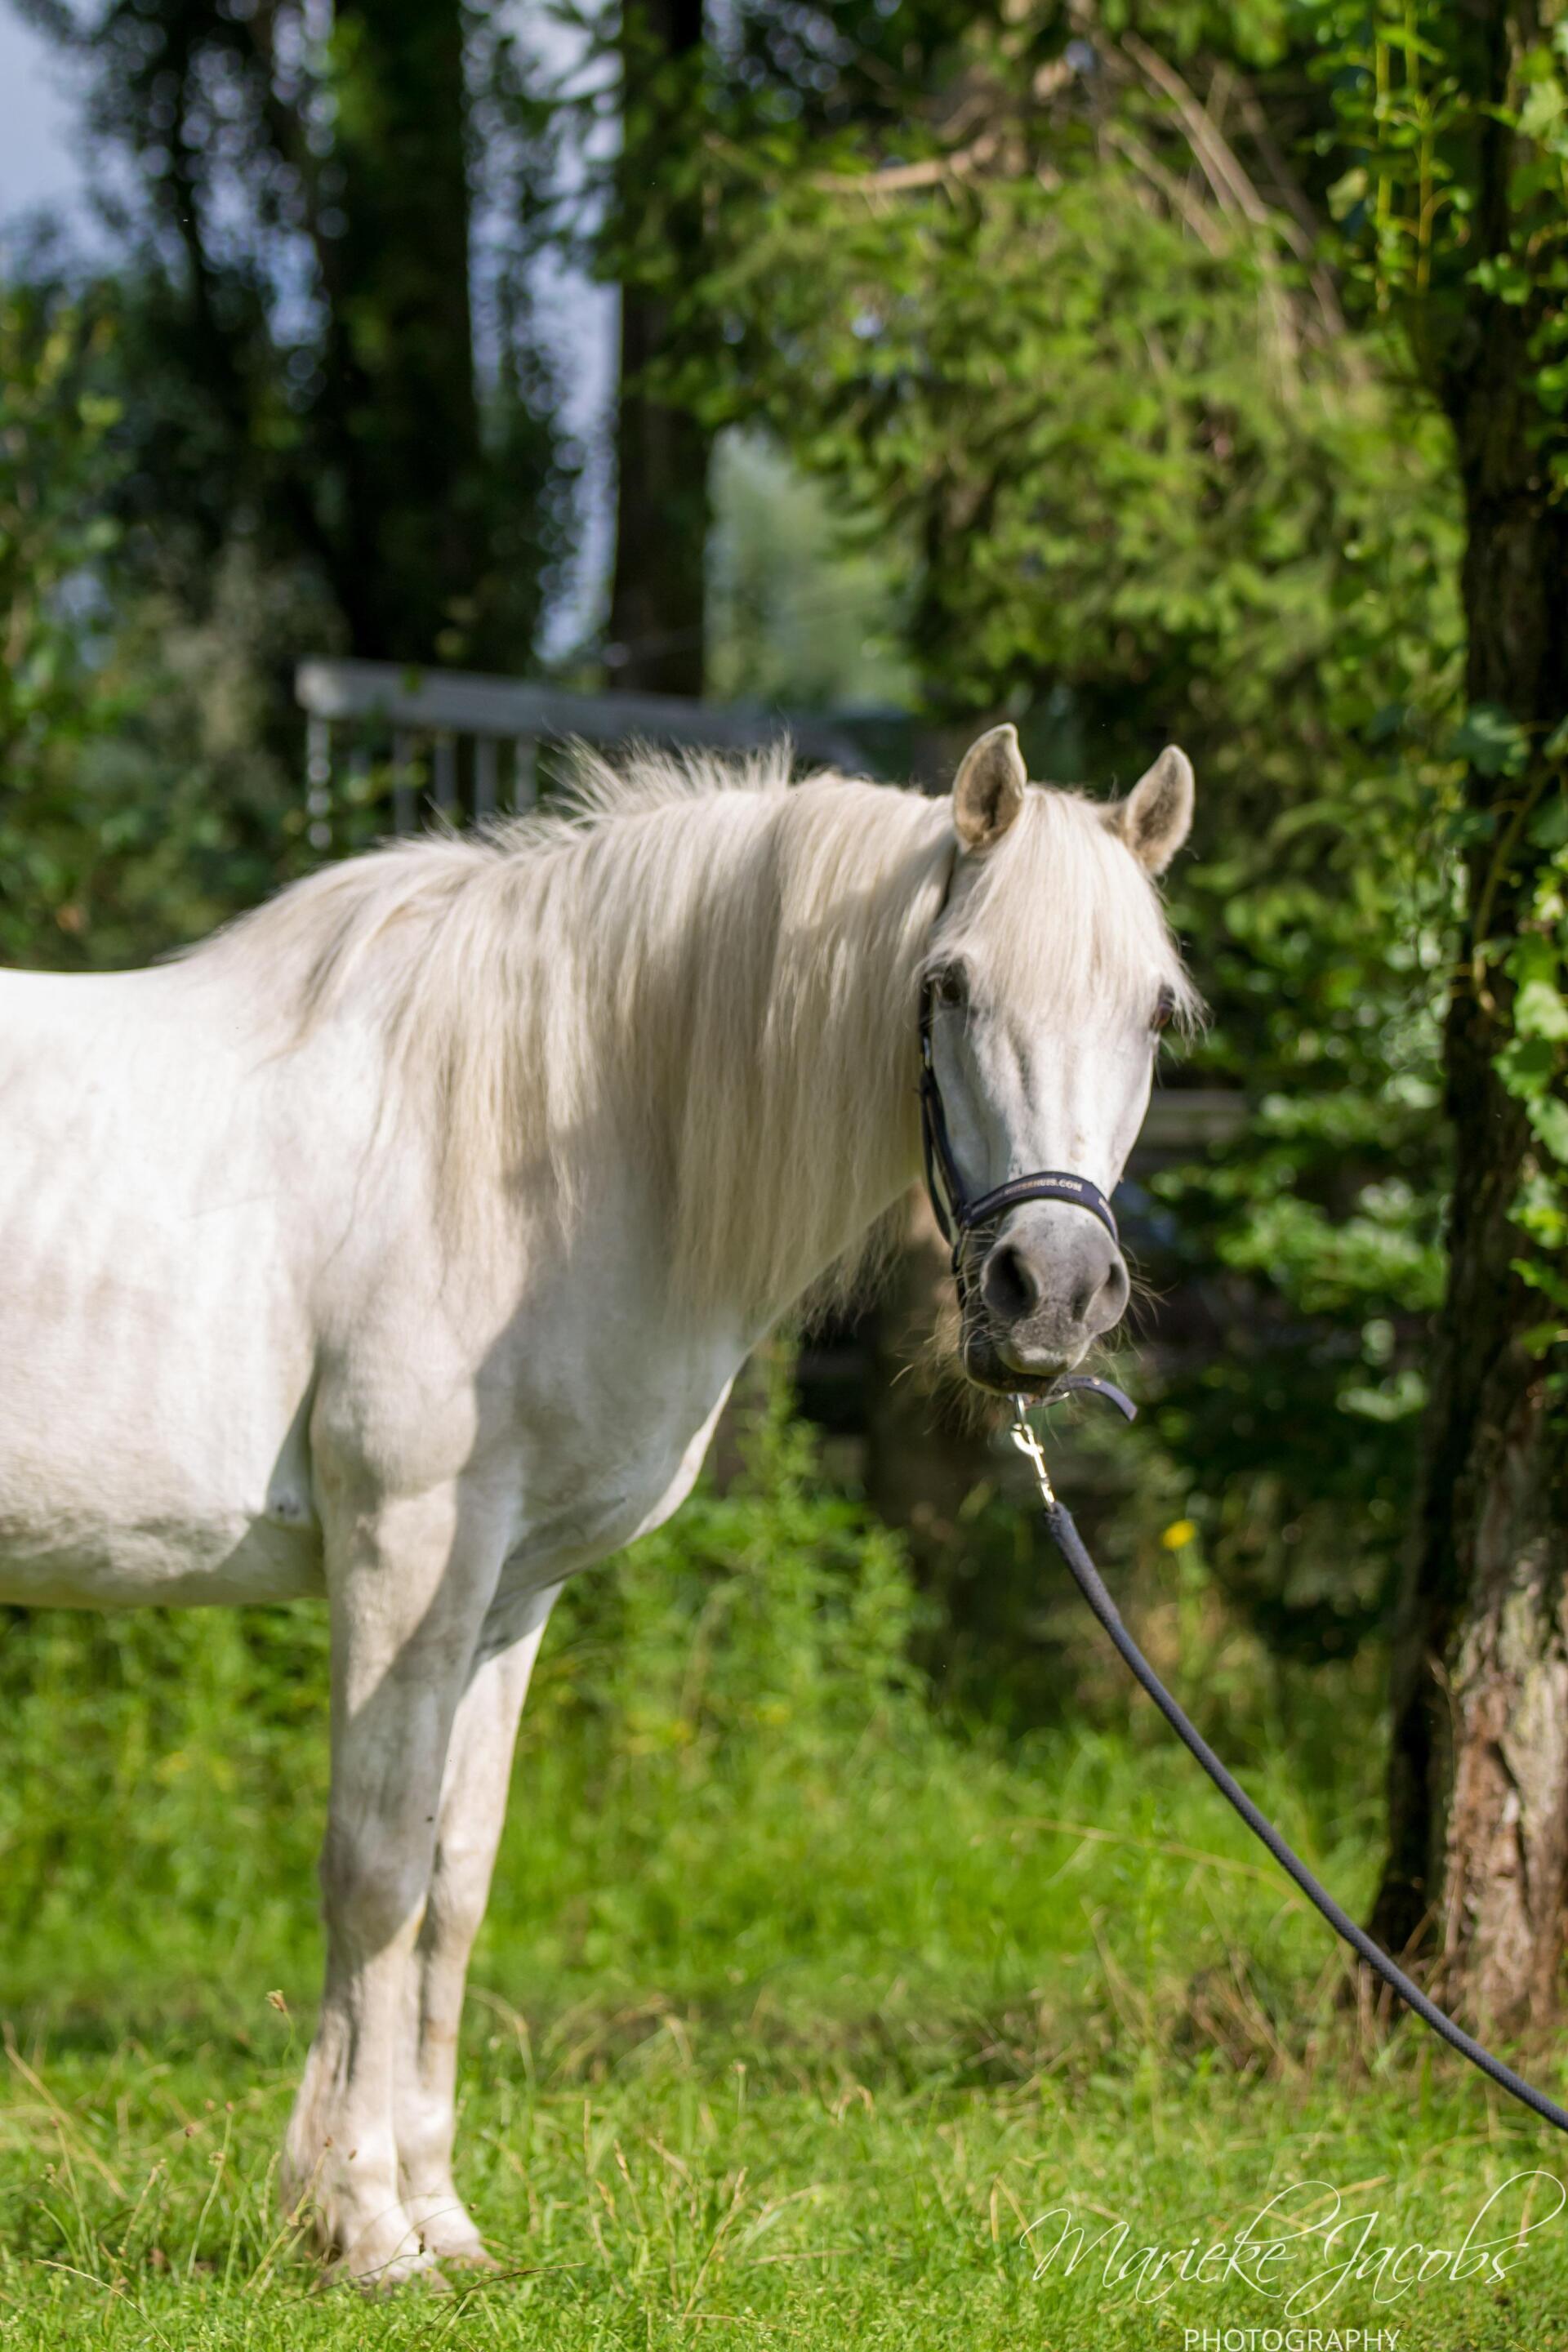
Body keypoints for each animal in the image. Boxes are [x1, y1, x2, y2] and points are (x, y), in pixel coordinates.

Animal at [0, 722, 1194, 2286]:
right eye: (949, 984)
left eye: (1157, 1015)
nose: (1051, 1291)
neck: (527, 1156)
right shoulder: (403, 1559)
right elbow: (373, 1874)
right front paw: (362, 2224)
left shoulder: (507, 1597)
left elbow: (454, 1887)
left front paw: (440, 2221)